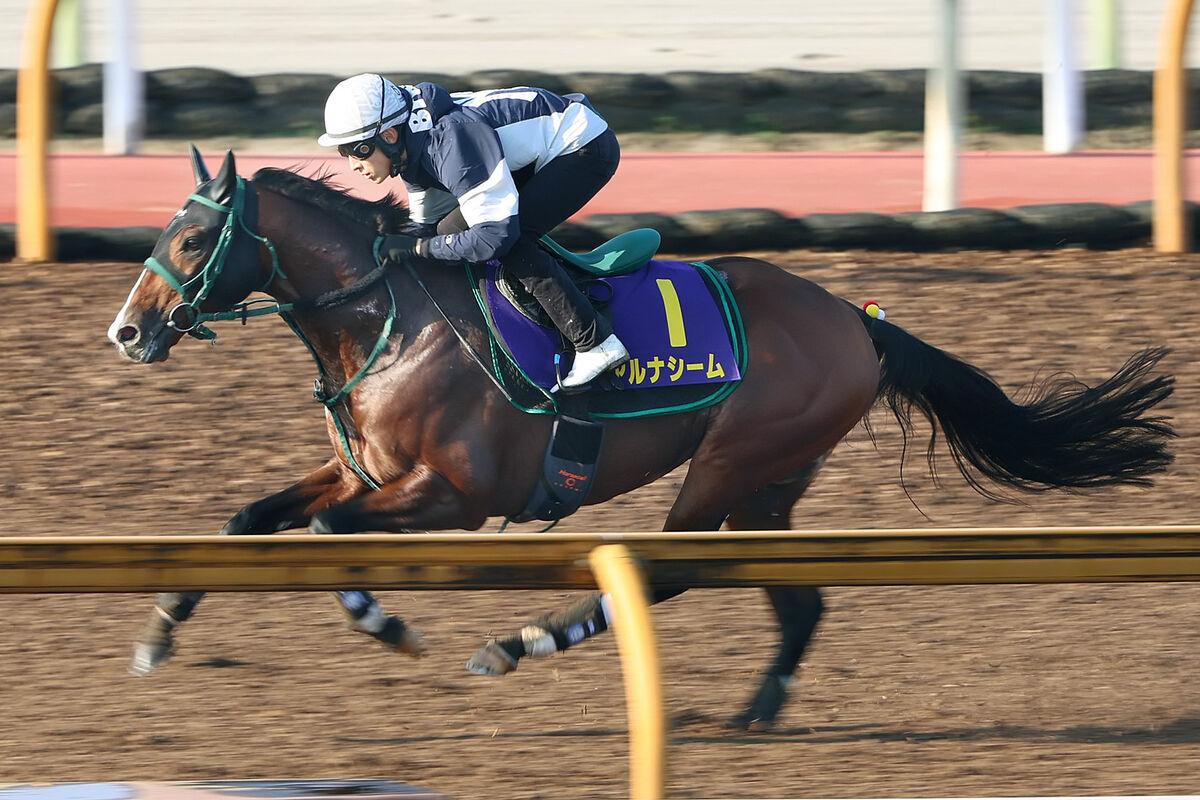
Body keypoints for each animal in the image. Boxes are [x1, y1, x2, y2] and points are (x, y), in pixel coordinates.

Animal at [108, 146, 1176, 729]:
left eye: (195, 239)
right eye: (162, 229)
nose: (128, 330)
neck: (389, 317)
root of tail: (854, 317)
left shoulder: (452, 498)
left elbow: (331, 545)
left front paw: (391, 625)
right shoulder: (361, 476)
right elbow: (247, 521)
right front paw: (156, 637)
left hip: (732, 462)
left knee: (669, 570)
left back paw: (523, 640)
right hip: (770, 485)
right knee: (799, 600)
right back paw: (757, 710)